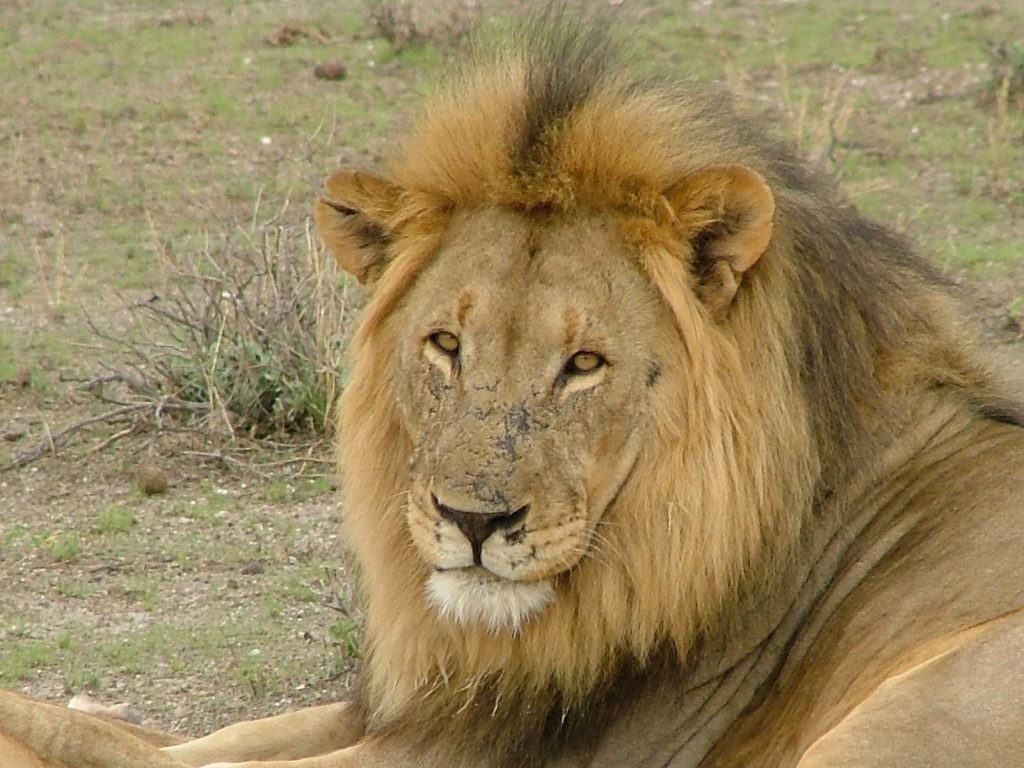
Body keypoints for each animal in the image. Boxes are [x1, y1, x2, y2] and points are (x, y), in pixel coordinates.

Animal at [4, 21, 1024, 768]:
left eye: (584, 364)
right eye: (446, 346)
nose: (474, 522)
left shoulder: (480, 752)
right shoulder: (422, 707)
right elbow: (173, 738)